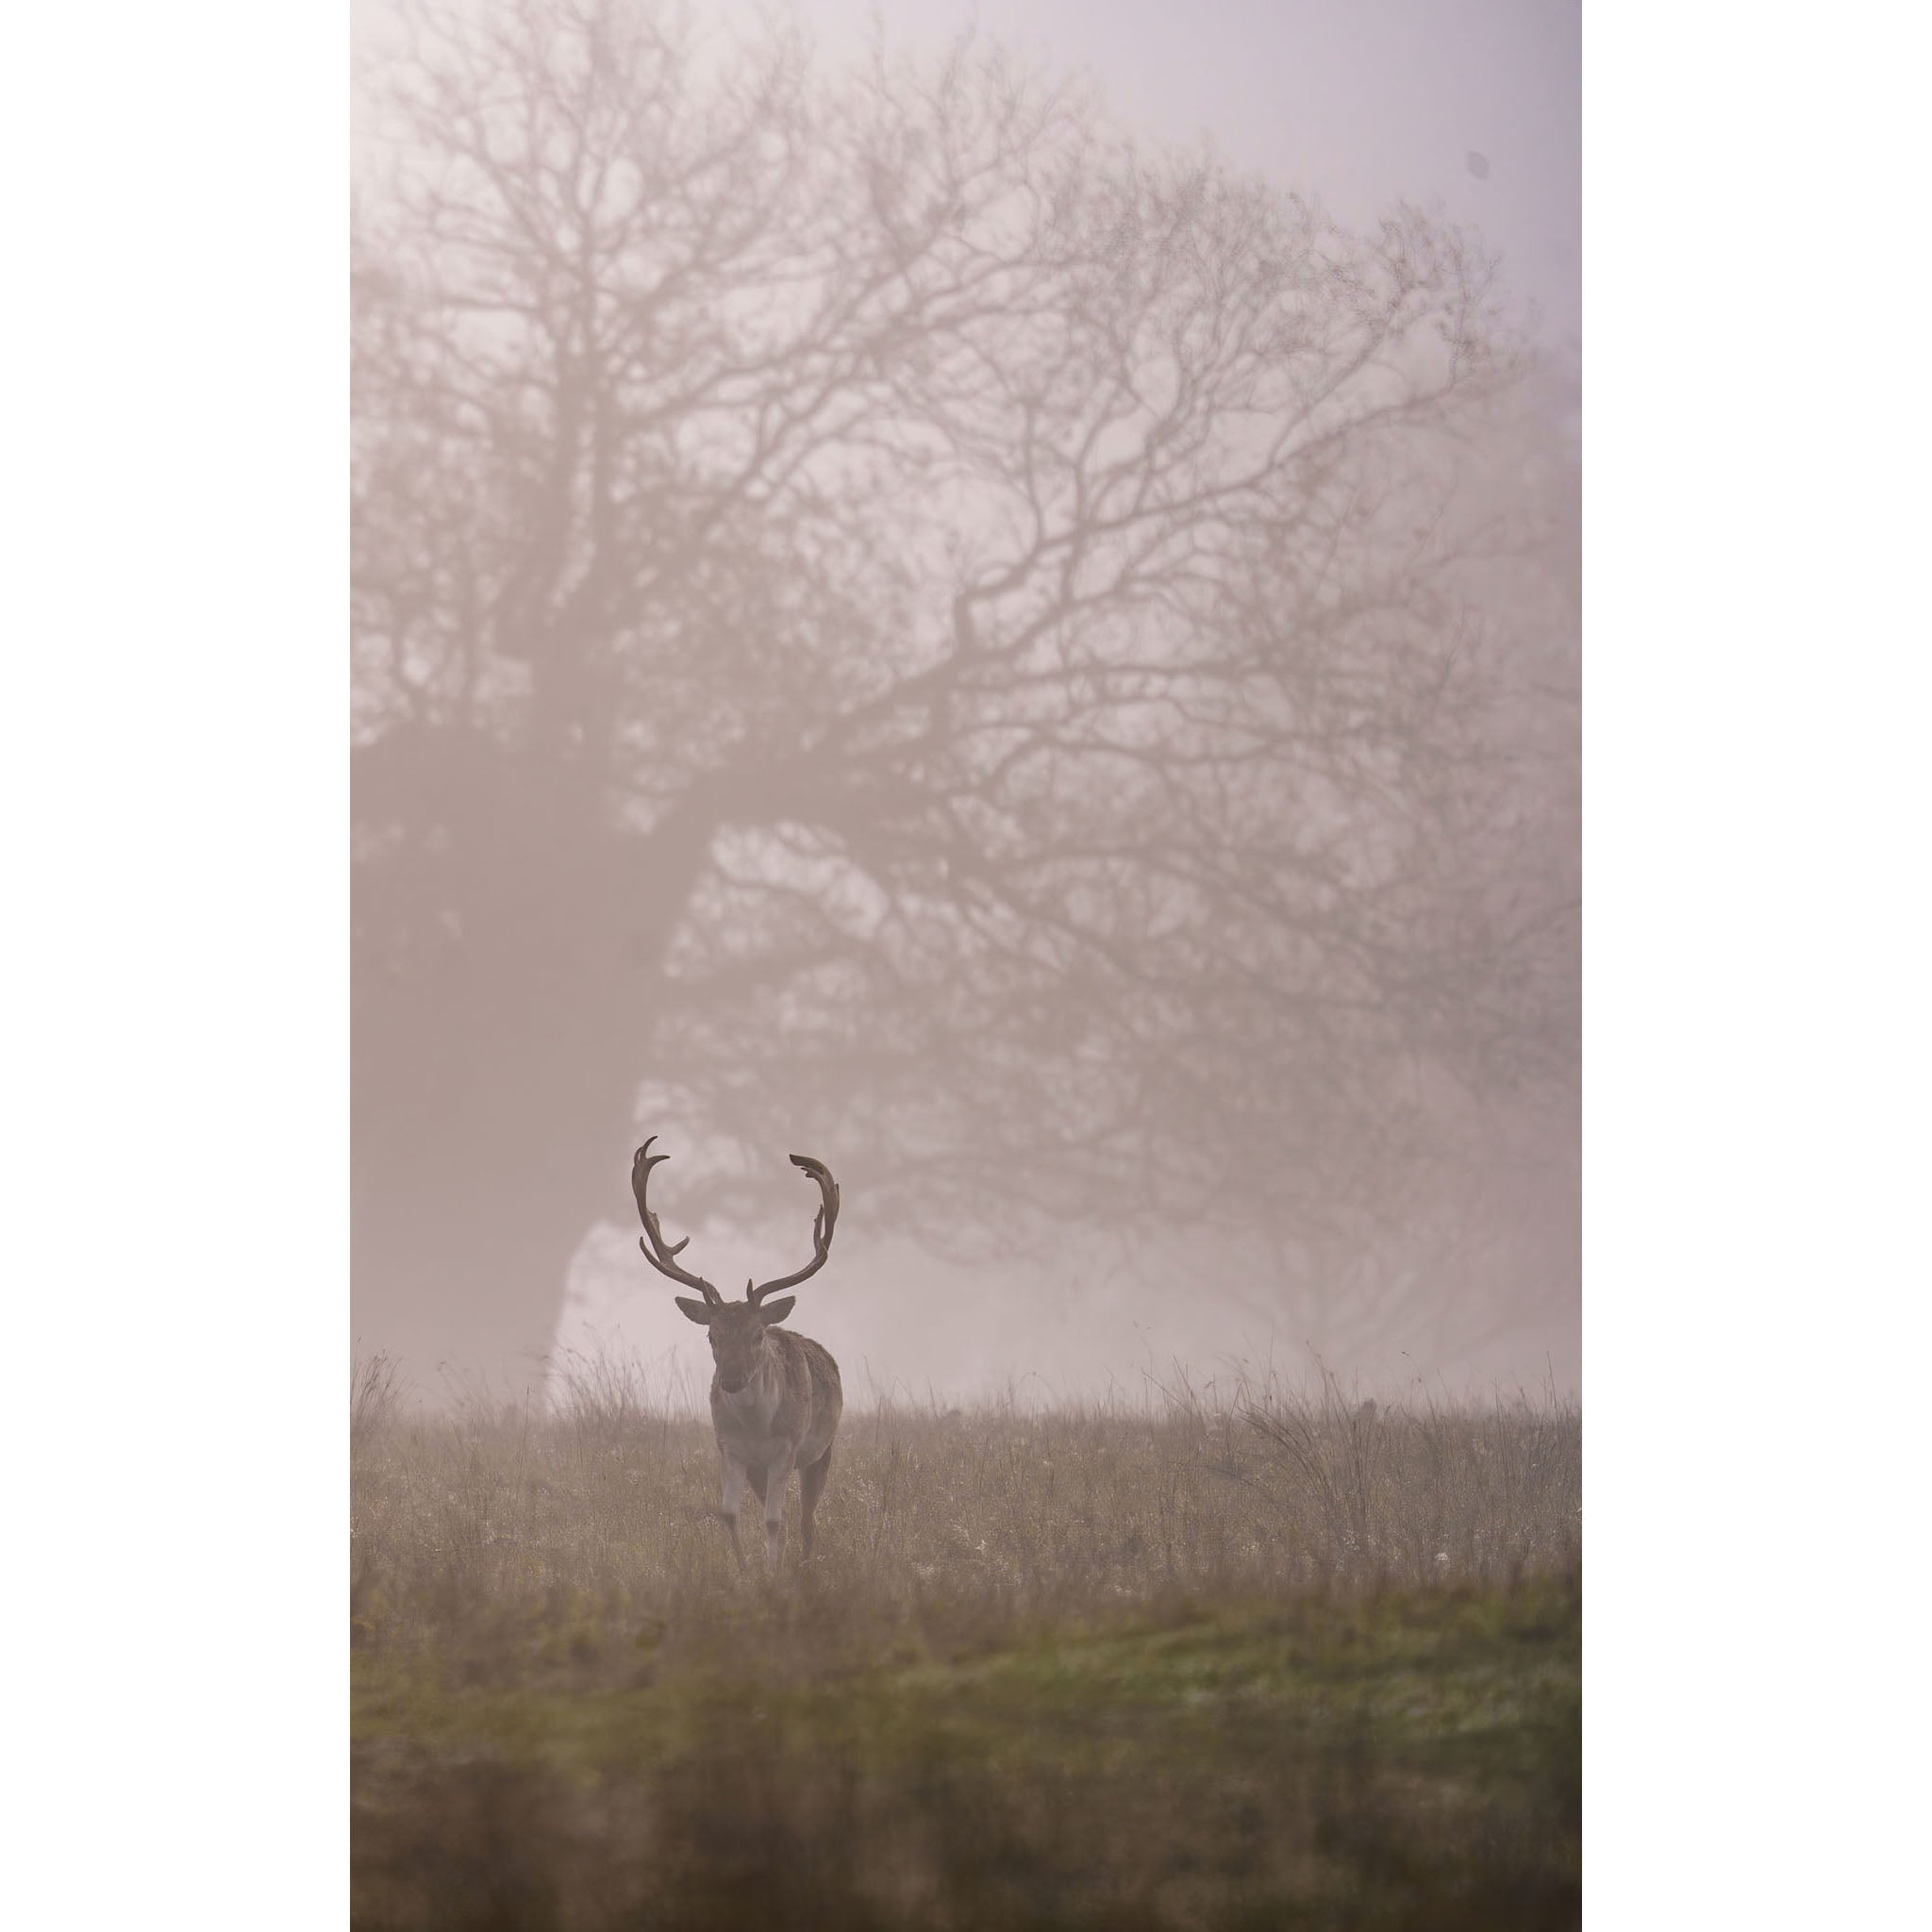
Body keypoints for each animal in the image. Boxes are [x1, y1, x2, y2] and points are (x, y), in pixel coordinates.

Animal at [630, 1137, 844, 1570]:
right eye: (711, 1335)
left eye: (757, 1333)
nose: (730, 1379)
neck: (756, 1427)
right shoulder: (729, 1448)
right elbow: (729, 1513)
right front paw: (746, 1570)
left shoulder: (787, 1448)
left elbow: (775, 1520)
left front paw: (772, 1571)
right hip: (762, 1470)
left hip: (821, 1451)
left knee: (807, 1519)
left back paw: (806, 1562)